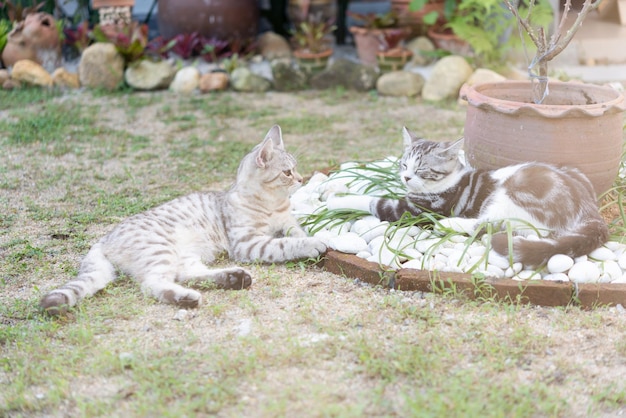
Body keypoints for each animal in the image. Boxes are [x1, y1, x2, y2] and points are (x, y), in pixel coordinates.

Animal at [42, 125, 326, 316]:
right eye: (287, 172)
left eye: (295, 168)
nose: (301, 179)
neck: (272, 205)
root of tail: (103, 239)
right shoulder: (248, 243)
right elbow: (284, 244)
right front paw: (314, 243)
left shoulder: (287, 221)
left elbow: (295, 232)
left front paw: (307, 238)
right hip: (160, 250)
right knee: (153, 284)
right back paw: (188, 298)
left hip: (185, 257)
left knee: (187, 275)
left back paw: (233, 278)